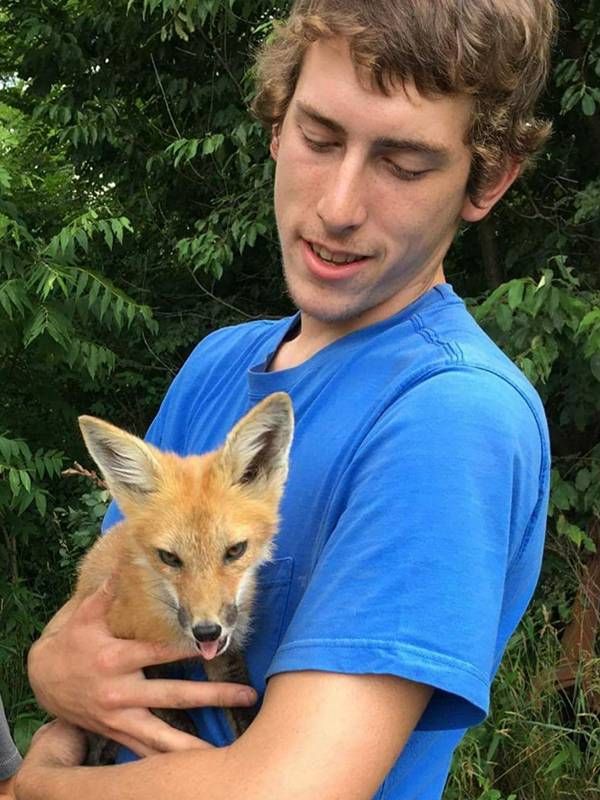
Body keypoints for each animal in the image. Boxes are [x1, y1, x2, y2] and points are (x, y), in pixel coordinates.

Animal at [71, 390, 294, 764]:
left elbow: (244, 717)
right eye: (169, 558)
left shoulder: (226, 655)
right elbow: (179, 731)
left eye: (235, 551)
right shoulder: (137, 667)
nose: (206, 630)